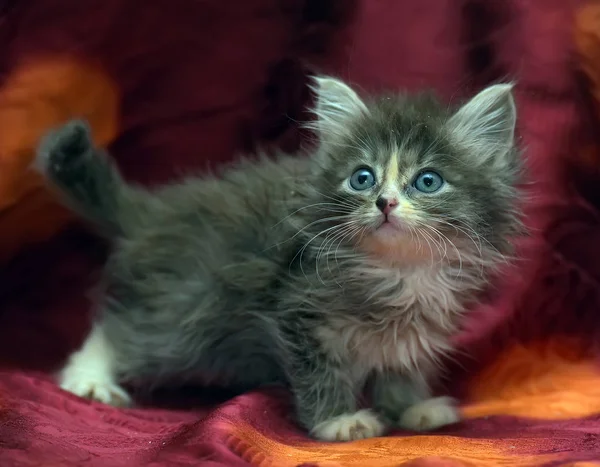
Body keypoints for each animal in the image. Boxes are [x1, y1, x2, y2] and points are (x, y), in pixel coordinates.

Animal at [37, 77, 524, 442]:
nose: (384, 202)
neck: (397, 271)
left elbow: (401, 362)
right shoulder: (297, 312)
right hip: (185, 312)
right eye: (362, 178)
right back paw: (90, 378)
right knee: (122, 331)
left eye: (427, 181)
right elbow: (319, 372)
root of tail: (154, 212)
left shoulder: (413, 326)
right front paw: (339, 421)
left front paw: (412, 407)